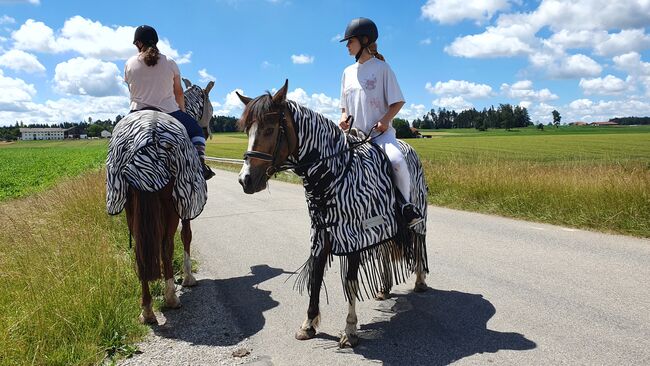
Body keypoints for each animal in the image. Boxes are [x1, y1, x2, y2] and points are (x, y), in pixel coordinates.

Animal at [235, 81, 428, 348]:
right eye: (247, 130)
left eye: (270, 129)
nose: (245, 180)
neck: (333, 176)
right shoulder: (322, 234)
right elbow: (315, 277)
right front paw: (308, 324)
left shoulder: (354, 237)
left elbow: (350, 282)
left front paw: (350, 329)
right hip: (385, 227)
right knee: (385, 251)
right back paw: (384, 288)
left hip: (417, 221)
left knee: (418, 245)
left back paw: (420, 281)